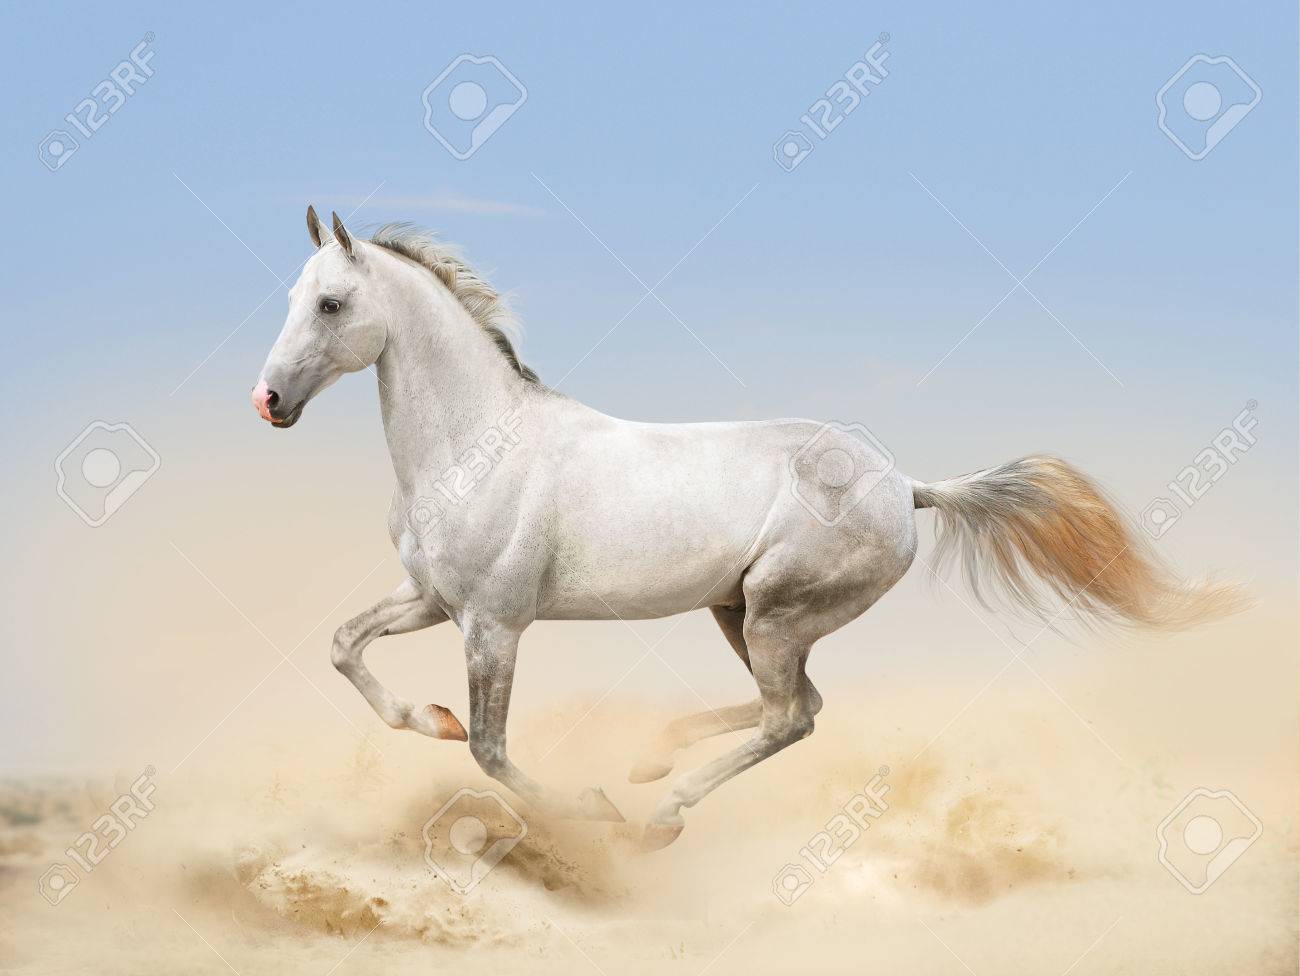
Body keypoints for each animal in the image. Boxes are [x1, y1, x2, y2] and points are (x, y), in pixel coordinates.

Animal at [251, 205, 1245, 850]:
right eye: (292, 295)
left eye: (332, 303)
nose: (268, 402)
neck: (476, 443)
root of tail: (906, 486)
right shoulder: (430, 599)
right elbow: (344, 647)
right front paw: (433, 719)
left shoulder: (493, 623)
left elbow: (495, 756)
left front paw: (588, 808)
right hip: (739, 612)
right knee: (799, 707)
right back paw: (654, 766)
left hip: (775, 612)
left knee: (789, 717)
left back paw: (658, 812)